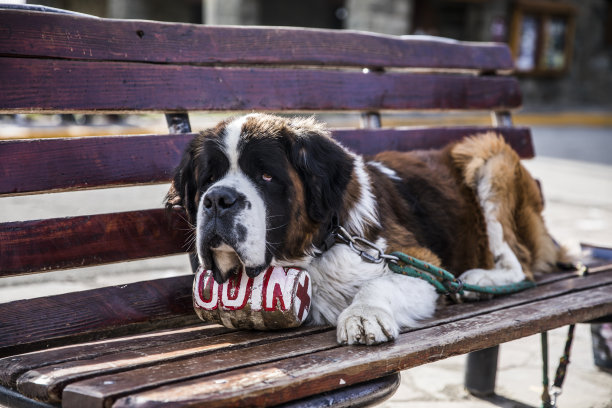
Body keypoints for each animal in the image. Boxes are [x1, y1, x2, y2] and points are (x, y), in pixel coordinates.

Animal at [165, 113, 568, 346]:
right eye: (208, 179)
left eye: (265, 176)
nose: (219, 199)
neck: (319, 244)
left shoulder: (418, 262)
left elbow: (378, 284)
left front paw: (363, 316)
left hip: (490, 158)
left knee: (521, 264)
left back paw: (480, 281)